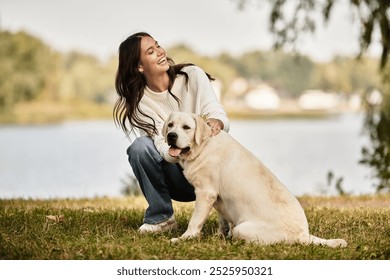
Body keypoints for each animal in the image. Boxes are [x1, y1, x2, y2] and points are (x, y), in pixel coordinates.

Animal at [163, 111, 346, 247]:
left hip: (242, 229)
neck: (203, 146)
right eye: (170, 125)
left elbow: (194, 221)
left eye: (186, 127)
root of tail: (304, 235)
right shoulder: (217, 198)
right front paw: (219, 236)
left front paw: (184, 238)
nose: (171, 135)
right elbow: (222, 220)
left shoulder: (206, 193)